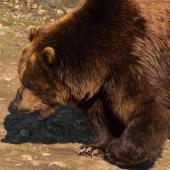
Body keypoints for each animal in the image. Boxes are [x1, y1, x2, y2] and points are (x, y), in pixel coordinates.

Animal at [11, 0, 169, 168]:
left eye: (30, 83)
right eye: (21, 77)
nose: (17, 104)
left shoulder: (140, 56)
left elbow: (148, 105)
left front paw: (116, 152)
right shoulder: (98, 87)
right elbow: (100, 115)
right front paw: (92, 148)